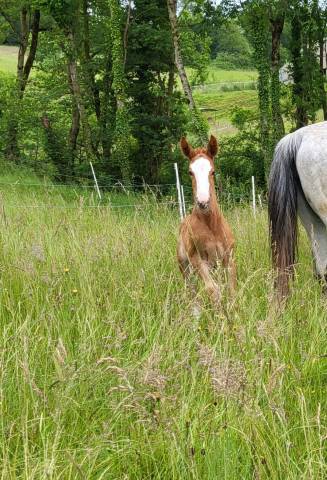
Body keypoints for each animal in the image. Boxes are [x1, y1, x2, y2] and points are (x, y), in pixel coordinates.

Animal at [178, 135, 237, 312]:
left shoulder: (228, 258)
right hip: (184, 266)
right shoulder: (197, 260)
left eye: (213, 171)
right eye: (190, 172)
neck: (212, 227)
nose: (203, 202)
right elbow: (213, 290)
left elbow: (231, 291)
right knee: (192, 292)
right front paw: (220, 318)